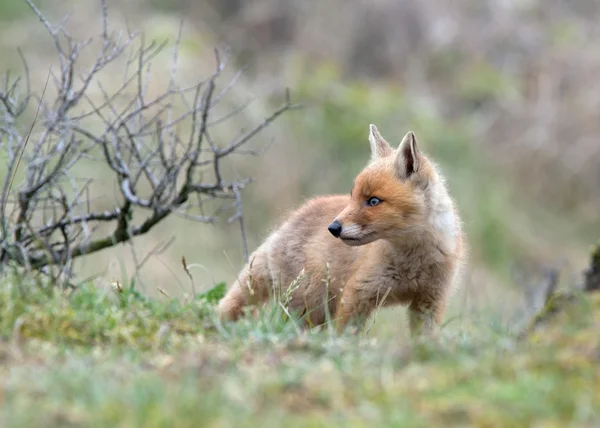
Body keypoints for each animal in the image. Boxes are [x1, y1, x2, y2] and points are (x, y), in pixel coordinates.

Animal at [218, 125, 466, 336]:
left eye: (373, 201)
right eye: (353, 196)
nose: (333, 228)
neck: (414, 261)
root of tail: (290, 220)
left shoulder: (429, 301)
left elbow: (423, 341)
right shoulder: (357, 293)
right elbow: (346, 336)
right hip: (305, 304)